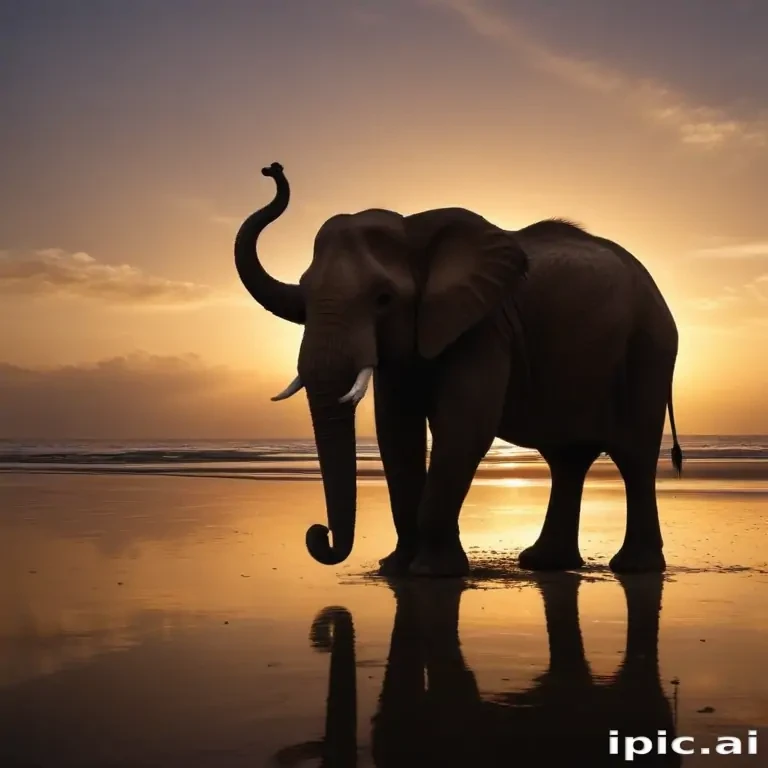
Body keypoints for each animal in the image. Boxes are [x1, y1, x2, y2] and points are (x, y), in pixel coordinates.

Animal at [235, 162, 683, 576]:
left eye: (383, 298)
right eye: (304, 294)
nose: (272, 169)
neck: (414, 230)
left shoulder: (483, 326)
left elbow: (464, 425)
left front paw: (432, 572)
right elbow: (395, 430)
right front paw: (395, 569)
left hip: (649, 348)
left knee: (633, 454)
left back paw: (633, 567)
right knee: (567, 458)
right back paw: (544, 563)